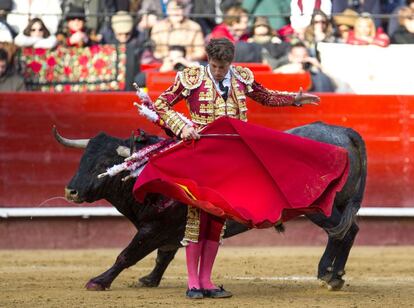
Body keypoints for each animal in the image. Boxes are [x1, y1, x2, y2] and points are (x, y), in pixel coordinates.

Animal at [54, 121, 366, 292]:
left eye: (104, 165)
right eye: (82, 160)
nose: (71, 191)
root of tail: (343, 132)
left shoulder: (153, 228)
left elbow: (126, 255)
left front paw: (99, 281)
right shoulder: (170, 230)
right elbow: (163, 257)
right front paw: (149, 280)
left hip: (321, 208)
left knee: (340, 233)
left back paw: (326, 274)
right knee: (349, 231)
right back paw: (336, 276)